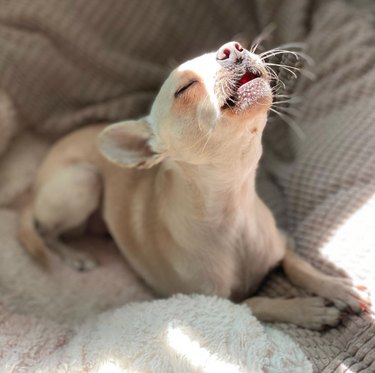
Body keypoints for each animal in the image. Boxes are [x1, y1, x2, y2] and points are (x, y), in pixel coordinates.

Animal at [18, 42, 370, 328]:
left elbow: (298, 266)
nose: (232, 48)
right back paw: (74, 255)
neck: (233, 206)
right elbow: (257, 303)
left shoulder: (282, 243)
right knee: (44, 231)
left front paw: (338, 287)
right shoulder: (217, 302)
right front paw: (309, 310)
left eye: (236, 45)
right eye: (185, 87)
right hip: (83, 181)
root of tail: (34, 185)